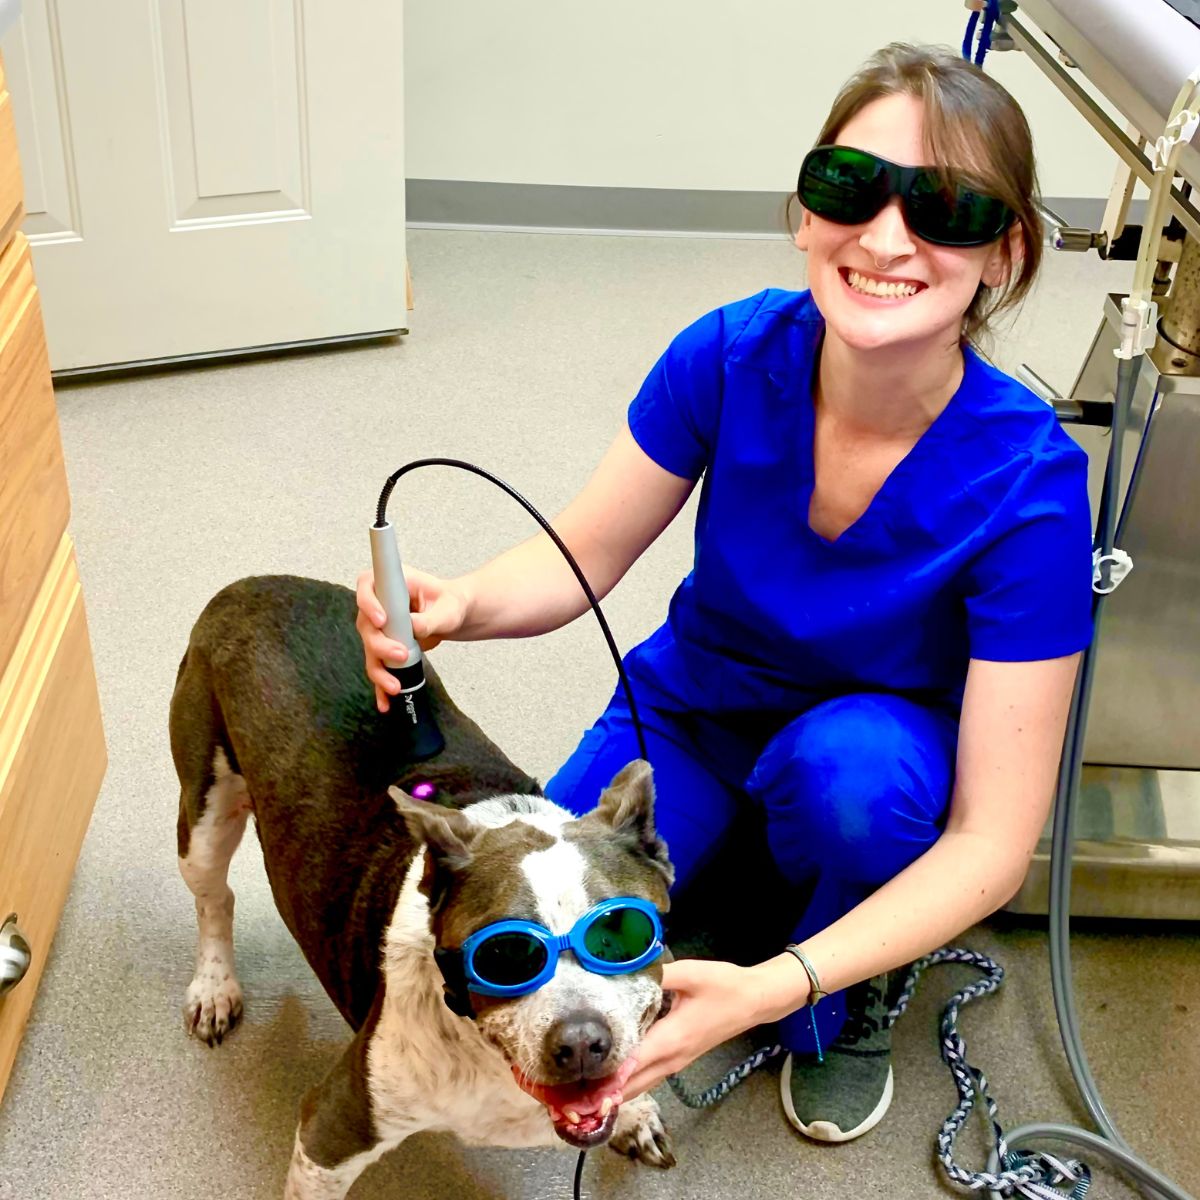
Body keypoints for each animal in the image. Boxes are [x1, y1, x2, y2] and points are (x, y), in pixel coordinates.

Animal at [169, 576, 676, 1195]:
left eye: (620, 933)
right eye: (505, 954)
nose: (581, 1042)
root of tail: (254, 583)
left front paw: (635, 1109)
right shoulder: (330, 1132)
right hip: (203, 810)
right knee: (214, 897)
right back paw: (214, 987)